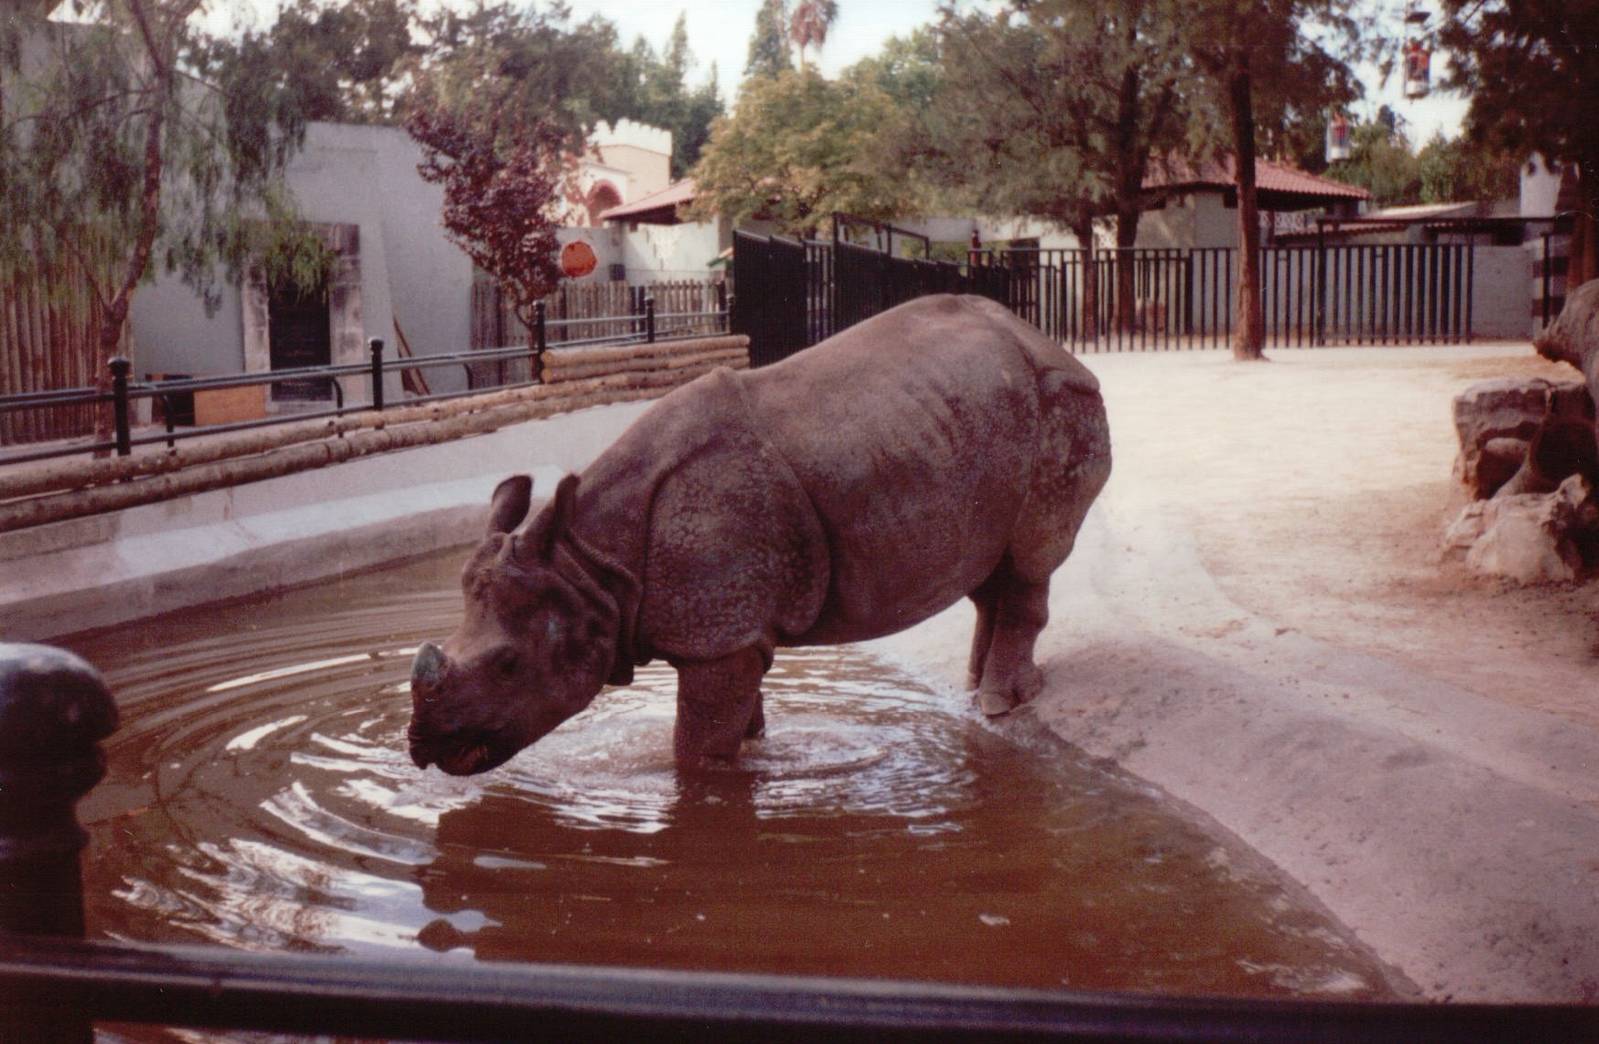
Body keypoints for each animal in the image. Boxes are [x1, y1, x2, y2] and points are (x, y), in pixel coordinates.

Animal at [408, 294, 1112, 775]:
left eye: (508, 665)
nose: (424, 750)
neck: (589, 564)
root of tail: (1049, 342)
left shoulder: (719, 633)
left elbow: (695, 751)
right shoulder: (728, 629)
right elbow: (735, 720)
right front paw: (752, 747)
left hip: (1063, 402)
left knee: (1031, 555)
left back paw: (998, 704)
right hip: (973, 421)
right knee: (991, 566)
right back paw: (976, 691)